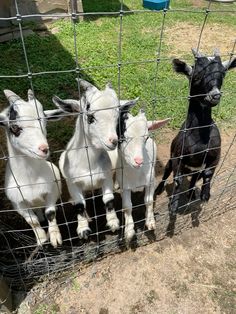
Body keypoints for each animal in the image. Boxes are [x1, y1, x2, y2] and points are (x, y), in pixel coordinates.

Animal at [0, 89, 63, 248]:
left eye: (45, 121)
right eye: (14, 127)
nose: (44, 149)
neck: (30, 179)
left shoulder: (51, 191)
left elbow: (50, 213)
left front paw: (54, 238)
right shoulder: (18, 204)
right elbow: (32, 221)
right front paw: (41, 239)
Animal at [52, 79, 136, 239]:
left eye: (117, 117)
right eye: (90, 117)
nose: (113, 141)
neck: (88, 165)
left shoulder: (106, 177)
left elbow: (108, 200)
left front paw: (113, 223)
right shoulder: (72, 183)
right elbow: (80, 205)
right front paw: (83, 229)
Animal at [113, 104, 169, 242]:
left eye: (146, 137)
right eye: (124, 137)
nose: (138, 161)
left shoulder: (150, 181)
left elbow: (148, 201)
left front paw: (150, 222)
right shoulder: (125, 186)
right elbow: (127, 206)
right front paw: (129, 231)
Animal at [156, 49, 235, 215]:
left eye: (223, 74)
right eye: (197, 76)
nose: (215, 95)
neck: (201, 140)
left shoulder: (215, 156)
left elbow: (208, 174)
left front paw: (205, 195)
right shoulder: (178, 157)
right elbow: (177, 180)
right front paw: (173, 206)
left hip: (195, 171)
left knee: (193, 179)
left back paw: (192, 193)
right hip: (170, 161)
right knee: (166, 173)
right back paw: (158, 190)